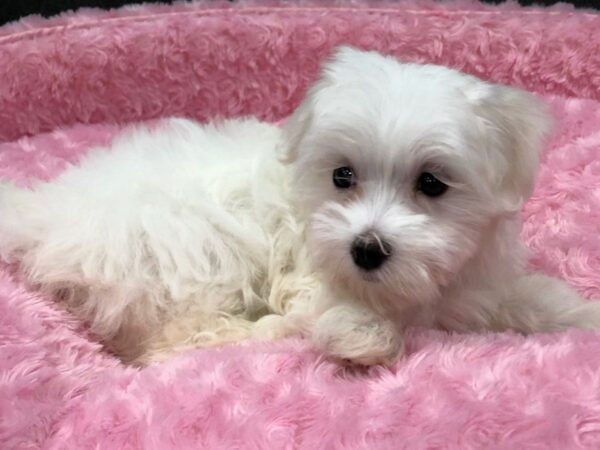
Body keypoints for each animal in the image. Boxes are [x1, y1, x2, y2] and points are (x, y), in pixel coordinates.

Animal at [1, 46, 600, 366]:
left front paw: (582, 316)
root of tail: (44, 213)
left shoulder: (480, 283)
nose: (366, 249)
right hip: (187, 249)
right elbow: (329, 310)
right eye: (342, 176)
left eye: (432, 183)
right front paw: (361, 335)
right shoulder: (311, 273)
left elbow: (530, 299)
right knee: (170, 339)